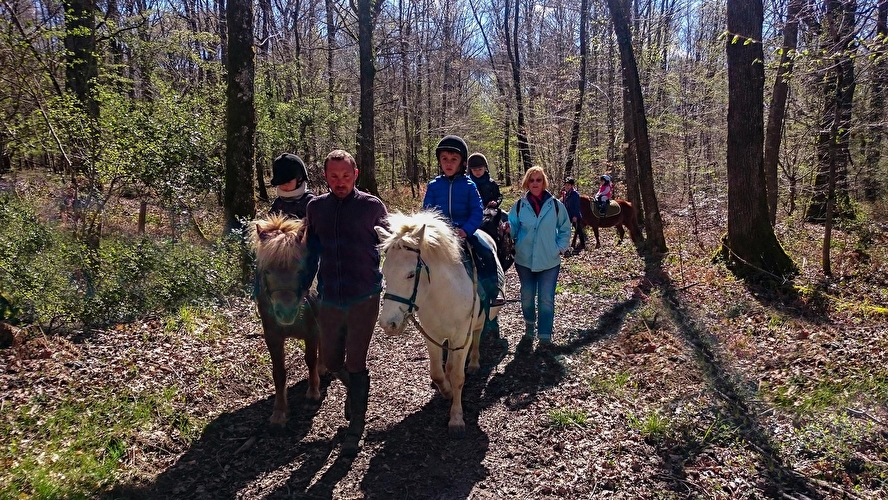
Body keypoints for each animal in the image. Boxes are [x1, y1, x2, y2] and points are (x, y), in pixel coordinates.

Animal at [248, 214, 324, 428]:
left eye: (300, 270)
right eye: (266, 271)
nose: (286, 312)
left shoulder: (312, 331)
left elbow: (310, 360)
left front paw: (313, 392)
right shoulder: (273, 337)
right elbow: (279, 372)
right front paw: (279, 412)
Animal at [376, 211, 504, 438]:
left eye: (411, 274)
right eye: (384, 272)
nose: (388, 323)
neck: (442, 294)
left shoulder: (461, 337)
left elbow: (458, 375)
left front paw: (456, 418)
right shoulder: (432, 336)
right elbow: (437, 372)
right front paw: (447, 391)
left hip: (476, 325)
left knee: (477, 336)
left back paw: (474, 363)